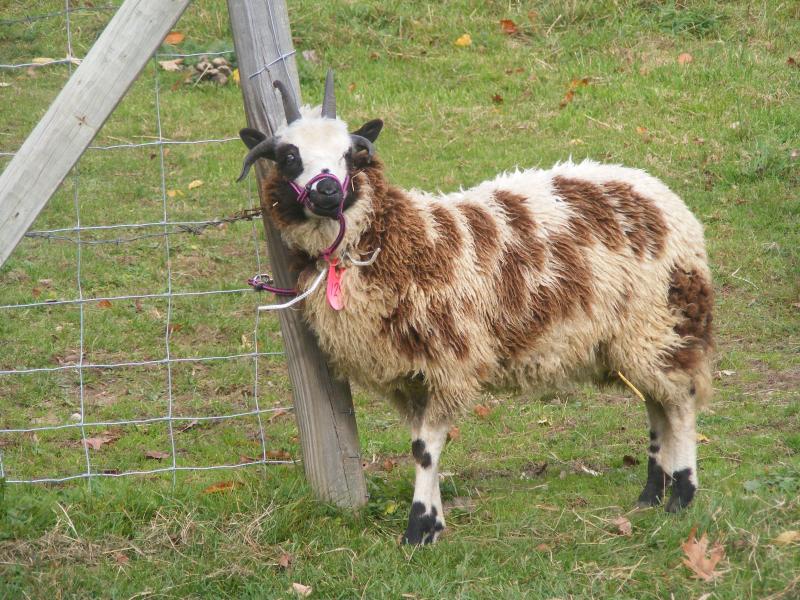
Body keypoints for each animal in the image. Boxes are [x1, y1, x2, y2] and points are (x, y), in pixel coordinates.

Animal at [237, 71, 714, 545]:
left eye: (350, 155)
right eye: (289, 156)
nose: (328, 192)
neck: (396, 242)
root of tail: (654, 188)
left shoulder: (451, 362)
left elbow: (425, 450)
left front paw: (418, 529)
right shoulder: (407, 377)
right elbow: (420, 444)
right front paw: (434, 521)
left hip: (661, 319)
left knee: (680, 402)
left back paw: (682, 495)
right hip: (632, 339)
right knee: (656, 403)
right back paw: (652, 493)